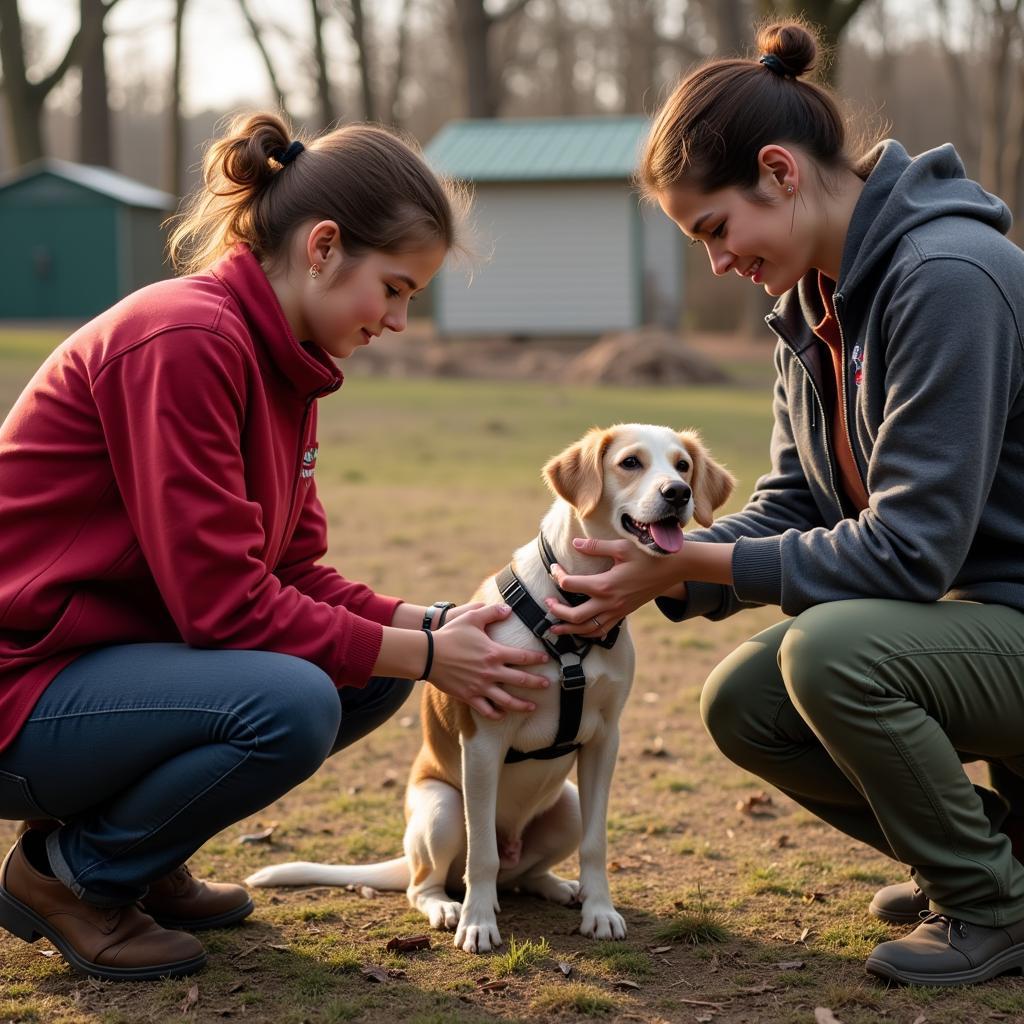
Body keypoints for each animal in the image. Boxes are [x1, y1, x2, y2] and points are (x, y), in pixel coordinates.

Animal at [244, 423, 733, 950]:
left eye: (682, 466)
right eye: (630, 463)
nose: (678, 494)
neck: (569, 610)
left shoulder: (605, 740)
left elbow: (596, 844)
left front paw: (600, 910)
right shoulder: (483, 742)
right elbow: (481, 851)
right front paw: (479, 923)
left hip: (568, 804)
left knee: (522, 875)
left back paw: (561, 887)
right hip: (440, 810)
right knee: (433, 881)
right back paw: (447, 906)